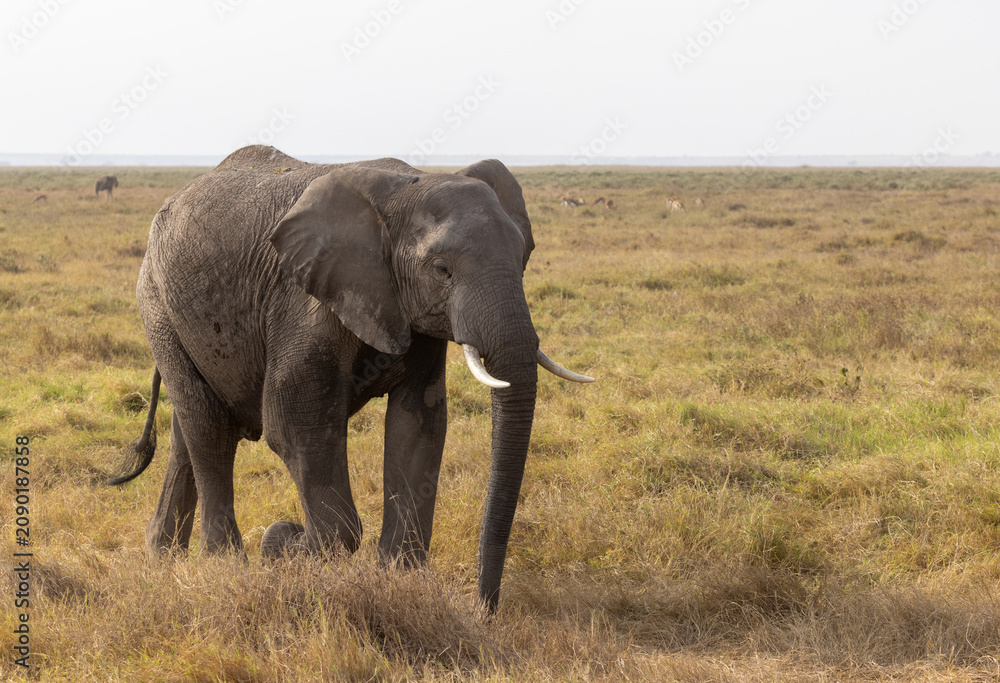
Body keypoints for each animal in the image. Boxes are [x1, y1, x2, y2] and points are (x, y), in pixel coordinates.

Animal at [110, 145, 593, 612]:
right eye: (442, 270)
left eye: (523, 257)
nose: (485, 610)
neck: (410, 186)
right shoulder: (305, 300)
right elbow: (293, 422)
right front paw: (283, 543)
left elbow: (418, 423)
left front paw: (401, 585)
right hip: (157, 305)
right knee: (208, 429)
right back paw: (224, 567)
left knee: (188, 431)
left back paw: (163, 559)